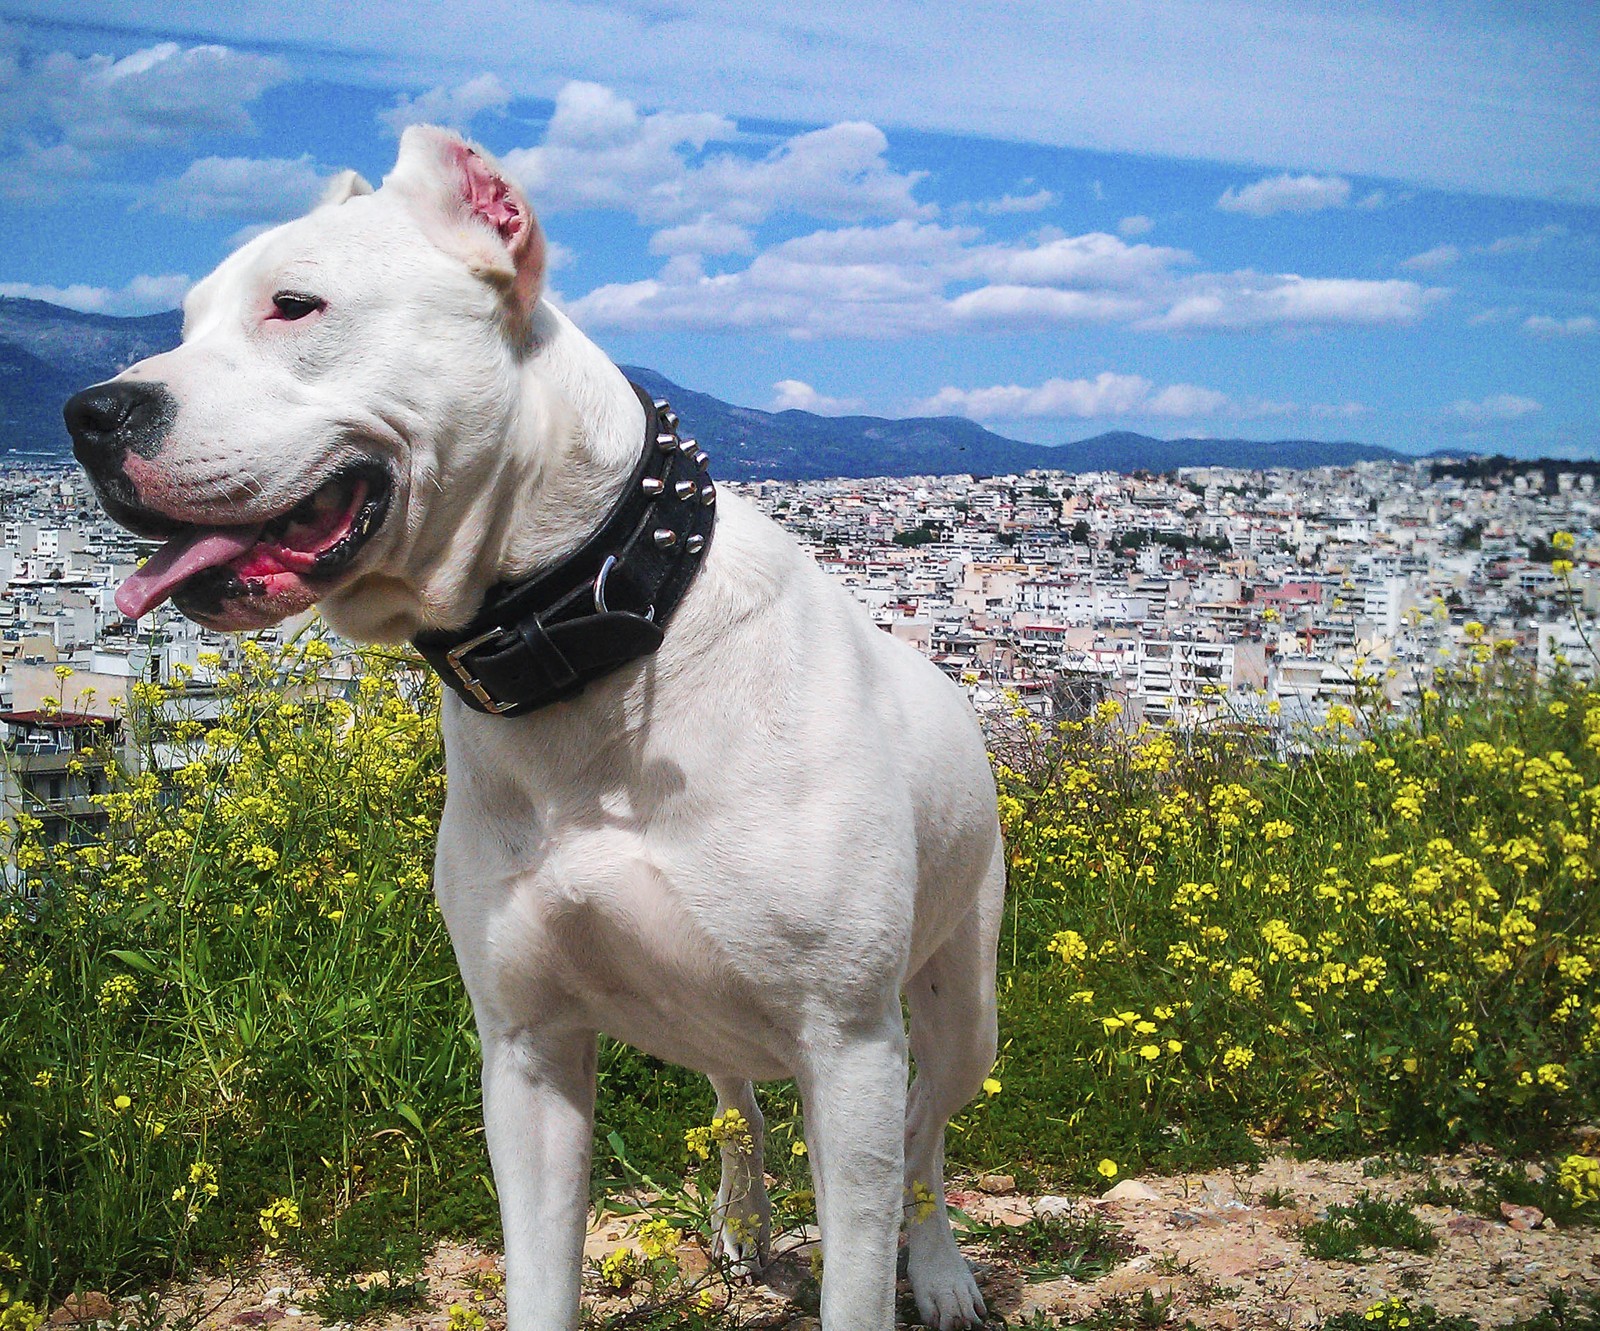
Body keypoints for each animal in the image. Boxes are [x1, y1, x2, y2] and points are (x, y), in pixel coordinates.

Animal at [72, 127, 1011, 1331]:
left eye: (295, 305)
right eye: (184, 321)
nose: (90, 415)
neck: (593, 640)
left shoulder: (846, 1046)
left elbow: (859, 1264)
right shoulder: (526, 1051)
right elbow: (539, 1268)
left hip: (955, 1008)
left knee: (927, 1134)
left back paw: (938, 1268)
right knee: (740, 1102)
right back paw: (746, 1219)